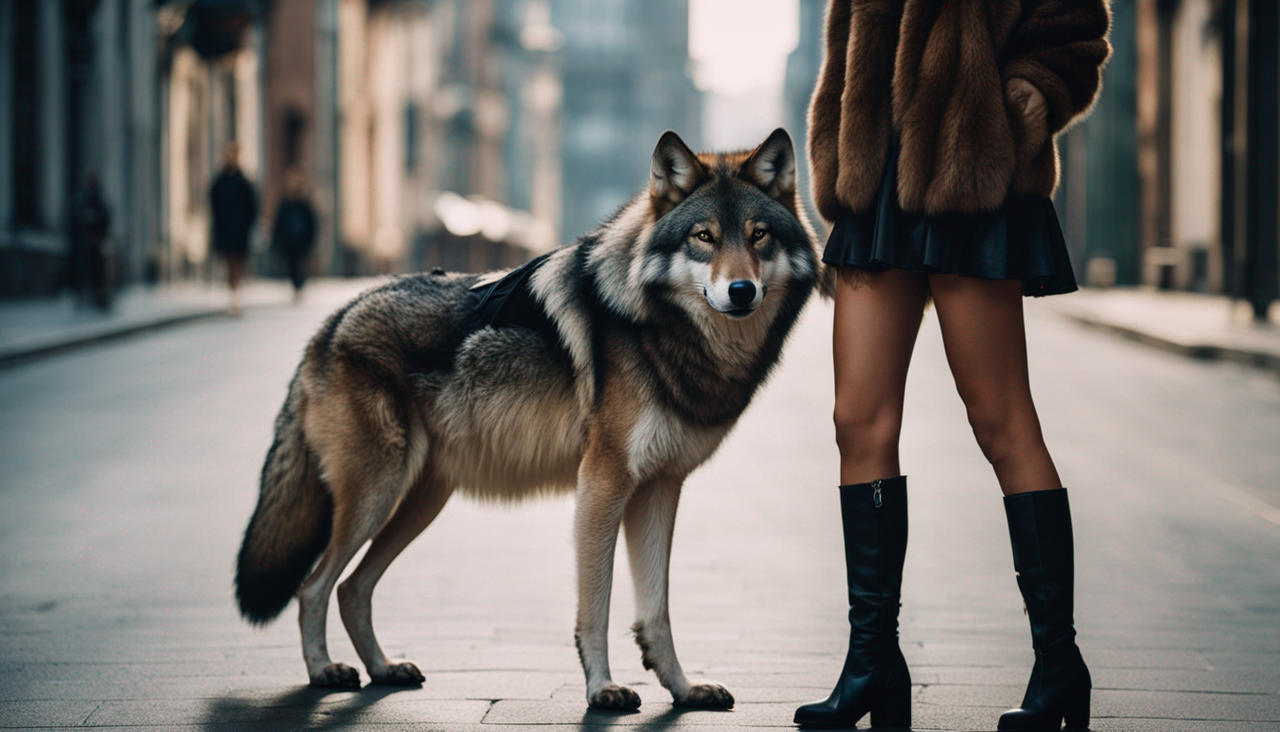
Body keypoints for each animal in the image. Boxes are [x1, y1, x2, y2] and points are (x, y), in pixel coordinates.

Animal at [234, 128, 819, 710]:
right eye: (704, 237)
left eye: (759, 235)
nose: (741, 291)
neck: (660, 330)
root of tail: (331, 321)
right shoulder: (602, 484)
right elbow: (597, 604)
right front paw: (602, 688)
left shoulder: (660, 487)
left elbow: (656, 612)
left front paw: (683, 688)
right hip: (377, 495)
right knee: (314, 586)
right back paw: (323, 671)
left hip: (419, 501)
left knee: (352, 588)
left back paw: (383, 668)